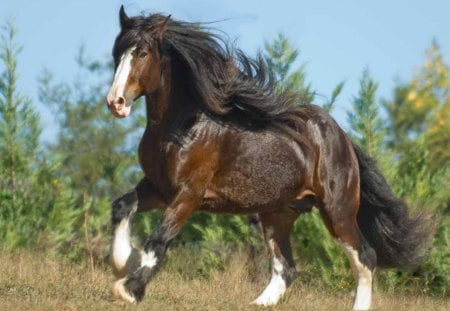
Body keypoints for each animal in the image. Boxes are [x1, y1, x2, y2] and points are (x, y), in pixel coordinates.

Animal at [104, 6, 432, 310]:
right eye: (117, 52)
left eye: (143, 53)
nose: (115, 103)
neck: (182, 127)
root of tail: (343, 138)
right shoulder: (158, 188)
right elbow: (122, 206)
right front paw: (124, 260)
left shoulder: (187, 195)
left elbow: (158, 241)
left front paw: (129, 288)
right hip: (278, 214)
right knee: (286, 268)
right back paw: (258, 303)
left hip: (337, 211)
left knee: (365, 257)